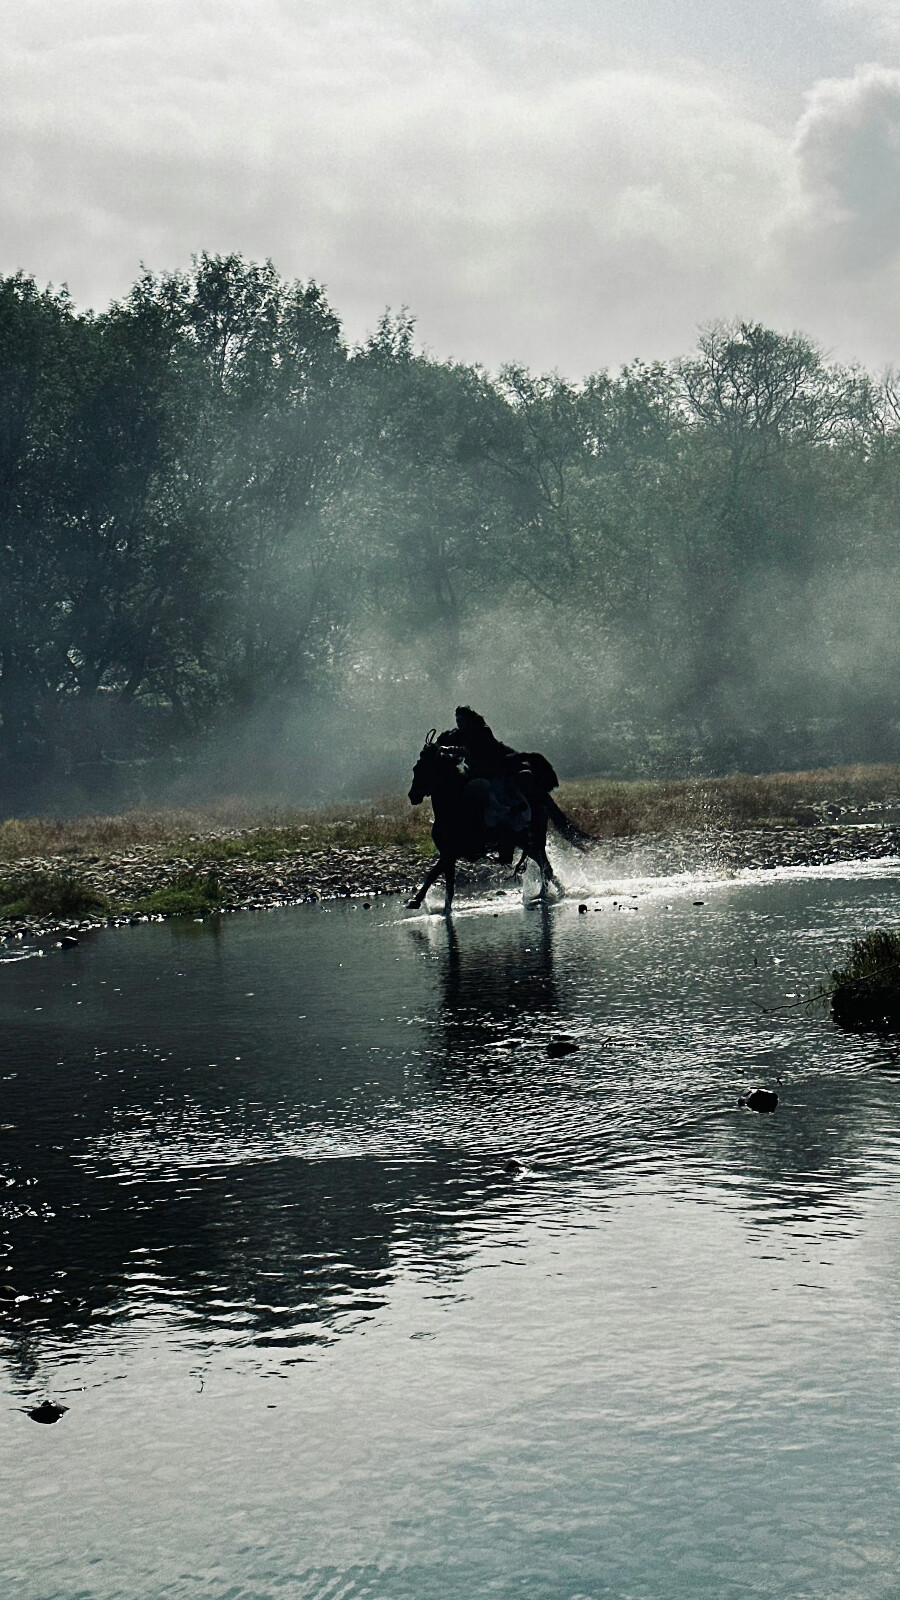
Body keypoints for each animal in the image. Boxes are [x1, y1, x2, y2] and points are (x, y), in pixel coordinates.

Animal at [403, 729, 586, 915]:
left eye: (419, 769)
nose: (412, 796)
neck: (454, 807)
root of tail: (540, 796)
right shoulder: (448, 854)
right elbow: (442, 881)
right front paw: (423, 903)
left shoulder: (450, 853)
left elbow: (436, 878)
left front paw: (419, 902)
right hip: (526, 843)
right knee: (545, 867)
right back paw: (552, 892)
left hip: (534, 840)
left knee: (545, 867)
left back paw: (547, 894)